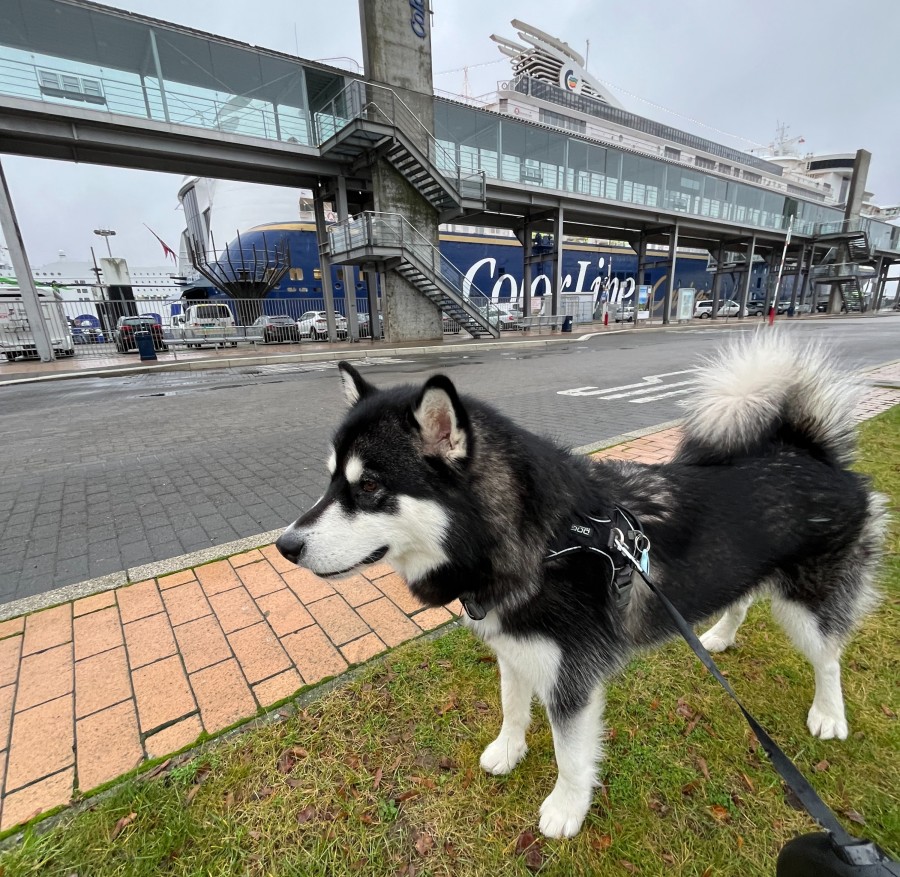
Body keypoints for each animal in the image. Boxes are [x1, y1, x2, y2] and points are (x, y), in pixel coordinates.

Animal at [276, 334, 884, 836]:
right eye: (331, 480)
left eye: (369, 486)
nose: (286, 546)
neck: (544, 544)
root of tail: (811, 454)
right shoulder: (515, 651)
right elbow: (511, 706)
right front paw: (509, 749)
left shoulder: (571, 677)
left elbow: (570, 753)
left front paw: (566, 808)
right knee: (745, 600)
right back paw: (719, 636)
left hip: (808, 606)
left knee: (829, 654)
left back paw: (830, 713)